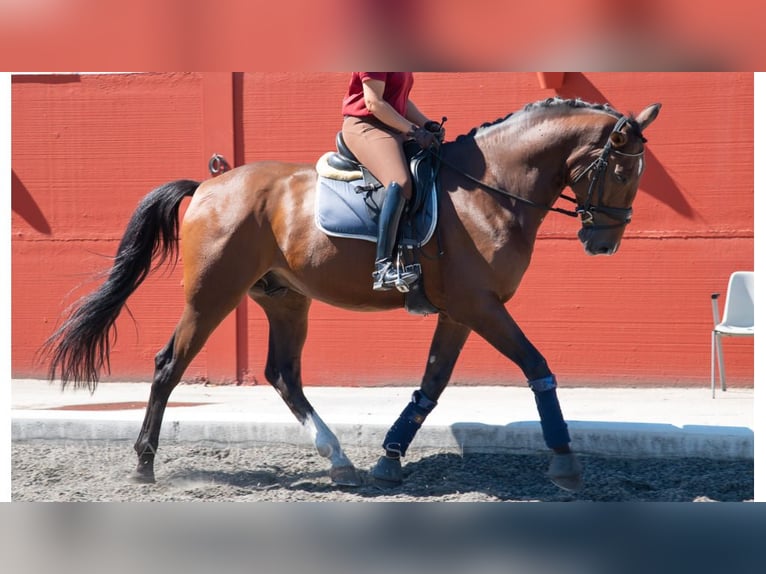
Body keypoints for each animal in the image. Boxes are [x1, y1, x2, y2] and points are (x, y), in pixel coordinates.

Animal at [45, 97, 664, 492]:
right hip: (211, 296)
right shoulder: (481, 306)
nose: (603, 243)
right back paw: (145, 466)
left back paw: (339, 460)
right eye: (623, 173)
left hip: (285, 299)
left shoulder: (462, 312)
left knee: (283, 375)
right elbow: (537, 367)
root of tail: (209, 185)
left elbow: (431, 385)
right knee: (169, 366)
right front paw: (565, 464)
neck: (492, 189)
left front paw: (389, 460)